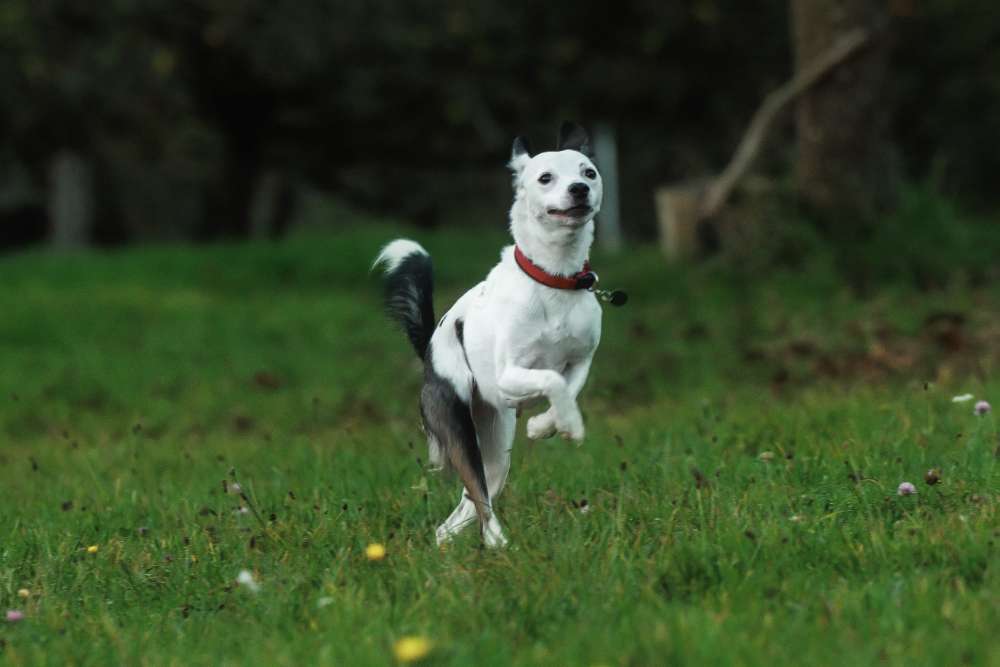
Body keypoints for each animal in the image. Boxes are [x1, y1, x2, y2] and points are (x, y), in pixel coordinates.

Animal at [376, 121, 604, 548]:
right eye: (545, 177)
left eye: (589, 172)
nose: (579, 189)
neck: (554, 278)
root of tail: (429, 349)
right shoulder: (508, 374)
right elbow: (551, 380)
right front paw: (571, 425)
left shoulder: (581, 361)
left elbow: (567, 388)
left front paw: (548, 424)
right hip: (458, 426)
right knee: (477, 492)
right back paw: (497, 542)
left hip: (498, 448)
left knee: (468, 503)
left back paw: (457, 542)